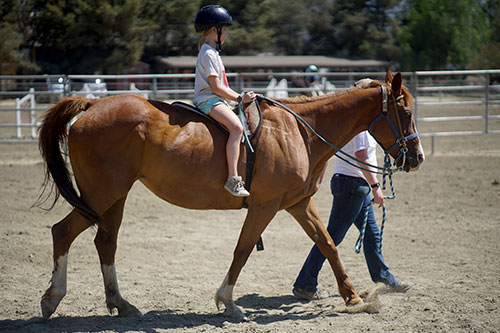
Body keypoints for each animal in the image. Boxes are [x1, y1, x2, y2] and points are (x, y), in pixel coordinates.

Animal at [37, 69, 424, 320]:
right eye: (405, 112)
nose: (417, 157)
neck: (299, 131)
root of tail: (91, 106)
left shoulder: (298, 204)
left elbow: (327, 244)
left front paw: (355, 298)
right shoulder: (265, 206)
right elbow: (242, 250)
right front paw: (229, 302)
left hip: (114, 198)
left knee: (106, 242)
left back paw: (121, 303)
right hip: (101, 195)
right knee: (63, 232)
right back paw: (52, 299)